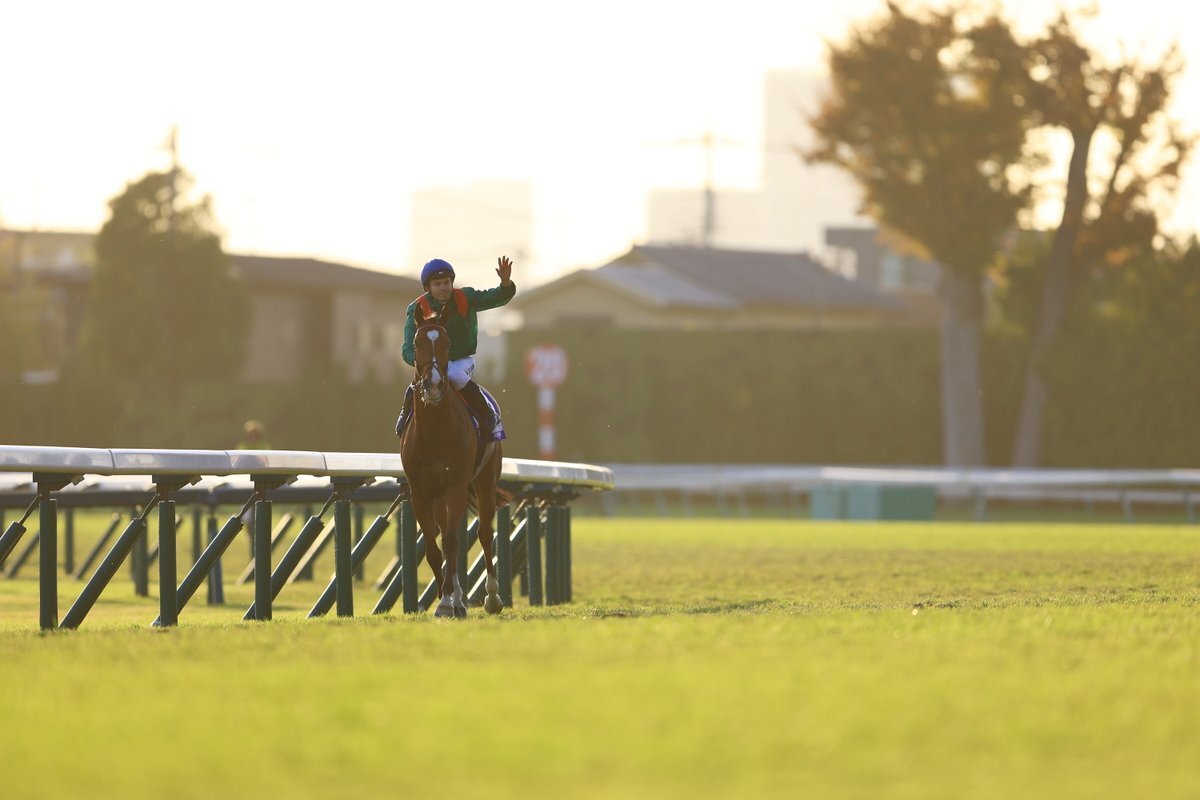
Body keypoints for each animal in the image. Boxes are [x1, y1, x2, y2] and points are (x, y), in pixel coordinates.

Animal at [400, 319, 506, 618]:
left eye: (447, 344)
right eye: (416, 343)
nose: (434, 384)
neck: (434, 431)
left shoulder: (457, 485)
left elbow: (450, 542)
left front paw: (447, 601)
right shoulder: (419, 492)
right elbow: (434, 546)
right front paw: (447, 599)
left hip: (485, 481)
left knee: (484, 533)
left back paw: (492, 598)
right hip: (439, 496)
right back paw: (459, 599)